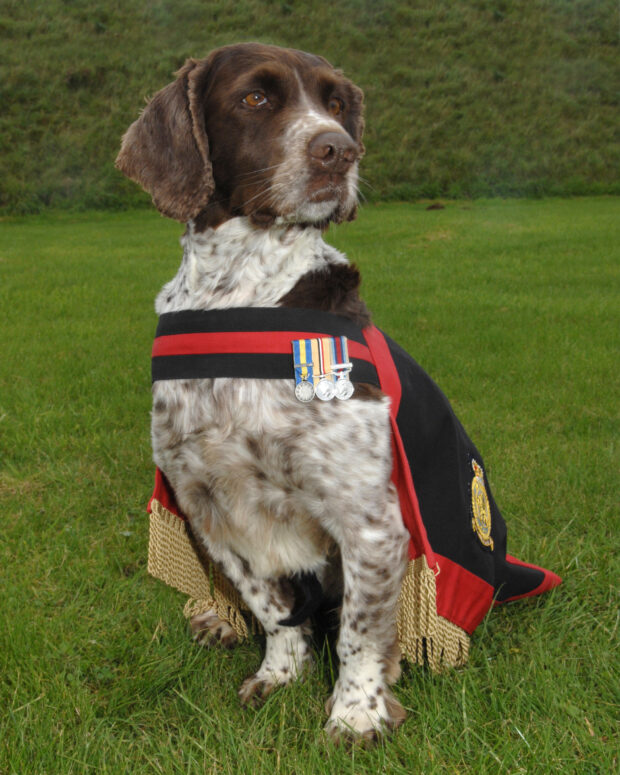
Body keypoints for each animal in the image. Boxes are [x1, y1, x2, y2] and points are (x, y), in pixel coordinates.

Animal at [117, 41, 412, 740]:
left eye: (337, 103)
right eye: (255, 98)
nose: (338, 151)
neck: (238, 295)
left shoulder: (368, 520)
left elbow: (360, 630)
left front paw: (357, 711)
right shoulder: (209, 506)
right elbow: (271, 604)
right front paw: (281, 673)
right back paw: (215, 621)